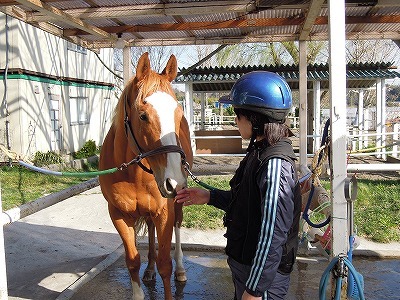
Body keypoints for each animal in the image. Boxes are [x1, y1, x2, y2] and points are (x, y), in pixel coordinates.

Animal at [99, 52, 194, 298]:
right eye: (143, 116)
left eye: (178, 114)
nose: (174, 182)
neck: (134, 174)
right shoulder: (119, 215)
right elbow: (132, 261)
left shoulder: (165, 212)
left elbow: (165, 265)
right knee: (150, 233)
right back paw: (149, 269)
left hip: (178, 203)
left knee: (178, 227)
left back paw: (181, 269)